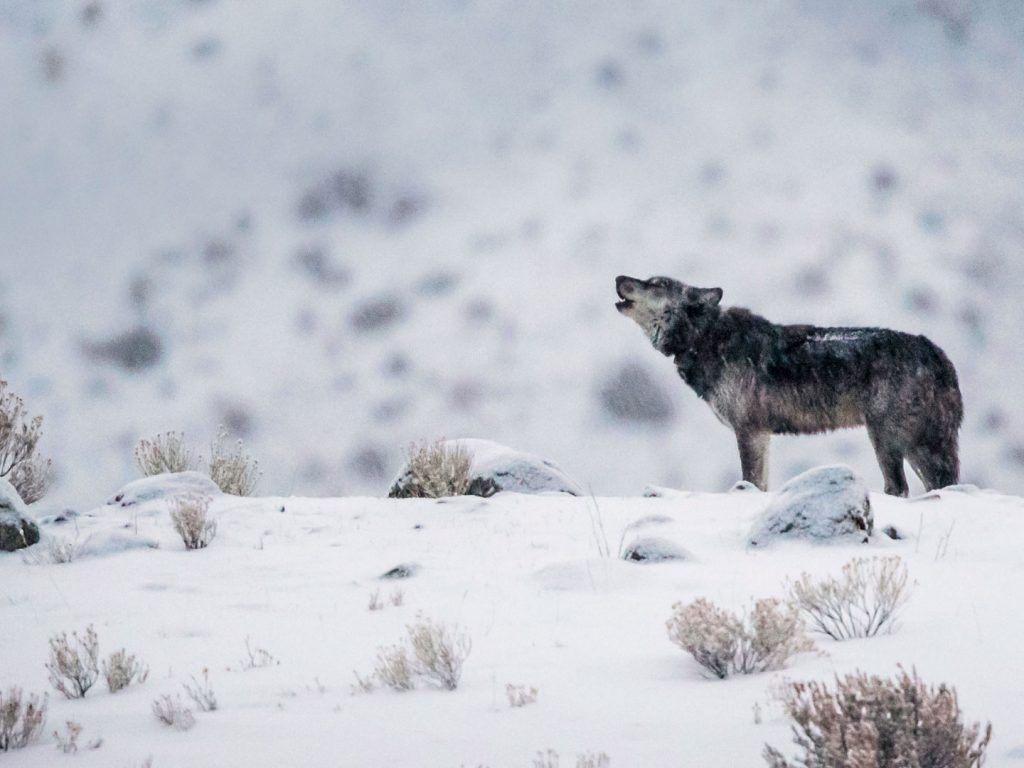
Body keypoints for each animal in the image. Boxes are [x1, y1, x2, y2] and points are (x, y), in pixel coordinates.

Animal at [614, 275, 962, 496]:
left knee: (900, 487)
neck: (705, 339)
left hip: (888, 437)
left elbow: (751, 481)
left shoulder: (749, 430)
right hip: (916, 444)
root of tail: (936, 353)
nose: (618, 277)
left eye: (658, 284)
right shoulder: (762, 435)